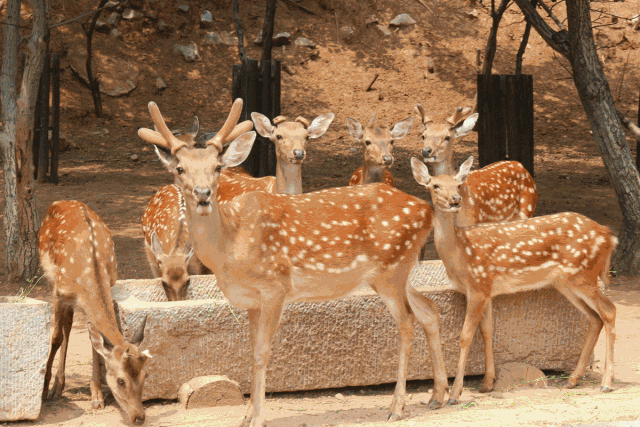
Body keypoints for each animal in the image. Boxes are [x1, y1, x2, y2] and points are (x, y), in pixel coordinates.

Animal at [39, 200, 151, 426]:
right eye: (121, 380)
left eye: (145, 376)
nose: (139, 417)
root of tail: (61, 202)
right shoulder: (59, 292)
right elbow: (55, 338)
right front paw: (44, 391)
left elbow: (94, 342)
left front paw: (97, 397)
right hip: (50, 277)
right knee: (63, 331)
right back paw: (54, 389)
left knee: (69, 326)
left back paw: (60, 385)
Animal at [137, 98, 449, 427]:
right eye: (180, 168)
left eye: (217, 167)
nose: (203, 194)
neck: (230, 245)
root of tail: (427, 210)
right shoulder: (252, 299)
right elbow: (251, 350)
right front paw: (246, 416)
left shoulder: (276, 286)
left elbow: (262, 352)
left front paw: (258, 418)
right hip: (401, 270)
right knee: (429, 309)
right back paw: (438, 396)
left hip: (391, 269)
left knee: (406, 322)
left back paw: (397, 406)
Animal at [410, 156, 617, 405]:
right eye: (435, 185)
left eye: (458, 185)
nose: (455, 200)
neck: (459, 253)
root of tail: (609, 236)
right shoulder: (487, 289)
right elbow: (487, 331)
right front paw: (487, 384)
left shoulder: (477, 287)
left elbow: (465, 336)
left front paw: (455, 393)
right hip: (566, 282)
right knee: (594, 318)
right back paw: (572, 379)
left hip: (583, 275)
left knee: (609, 310)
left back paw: (606, 383)